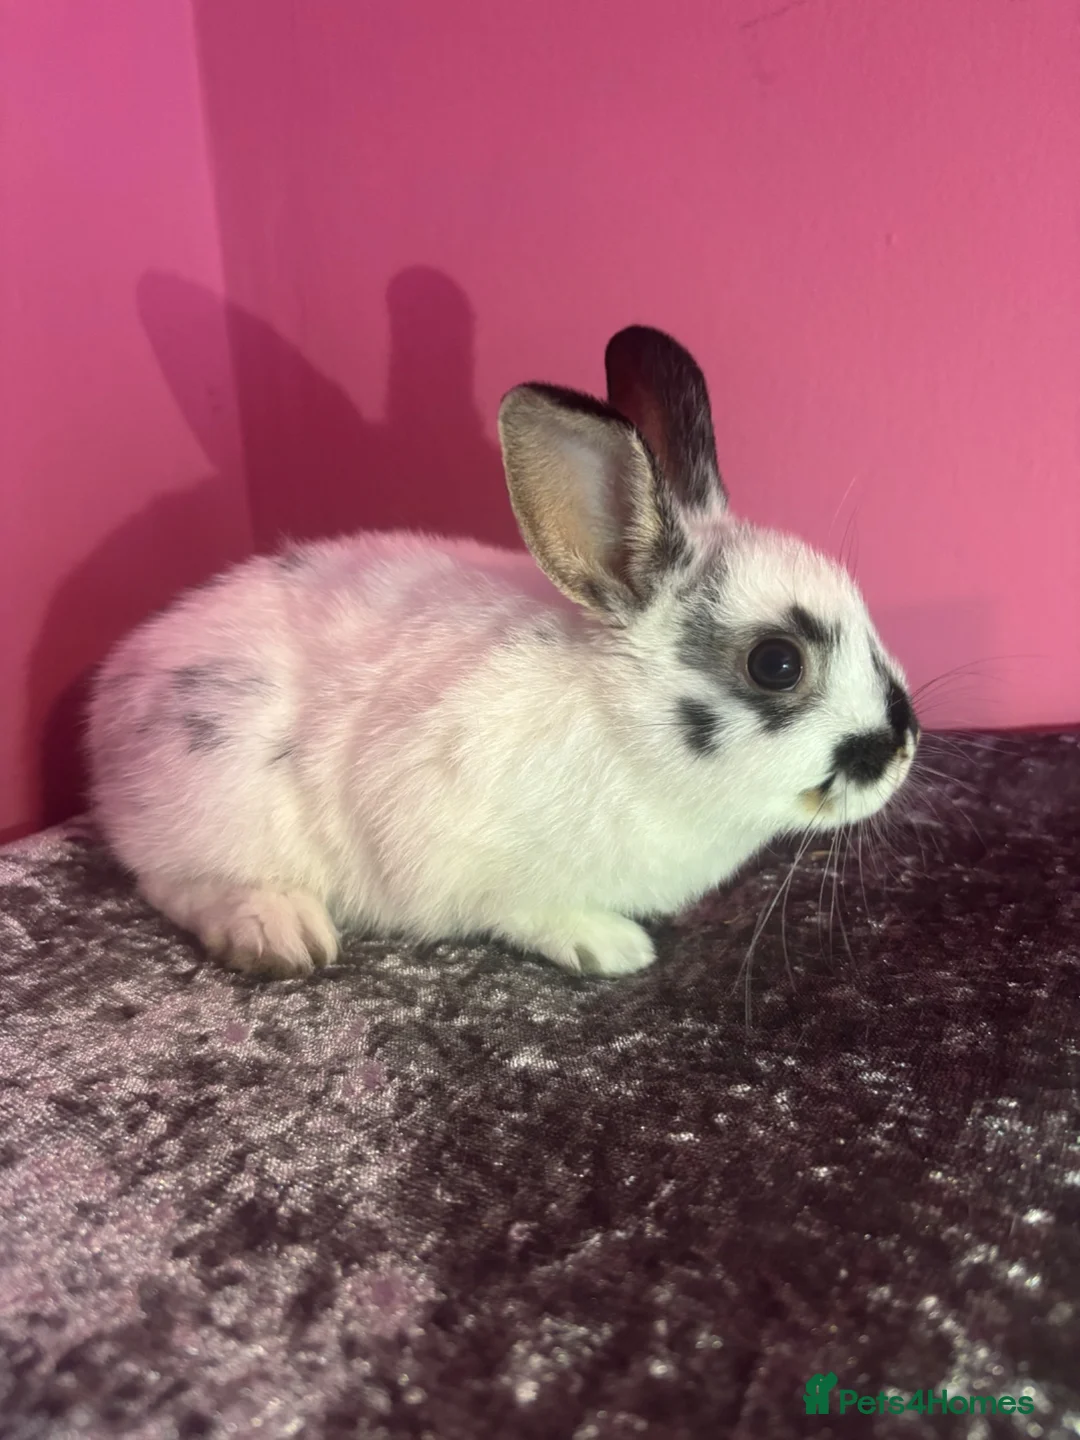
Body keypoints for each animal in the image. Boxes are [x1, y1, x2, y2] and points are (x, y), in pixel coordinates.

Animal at [87, 325, 919, 980]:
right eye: (777, 663)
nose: (904, 745)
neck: (621, 728)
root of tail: (112, 696)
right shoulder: (453, 846)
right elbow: (525, 908)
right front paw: (610, 945)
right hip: (217, 804)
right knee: (169, 881)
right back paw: (279, 931)